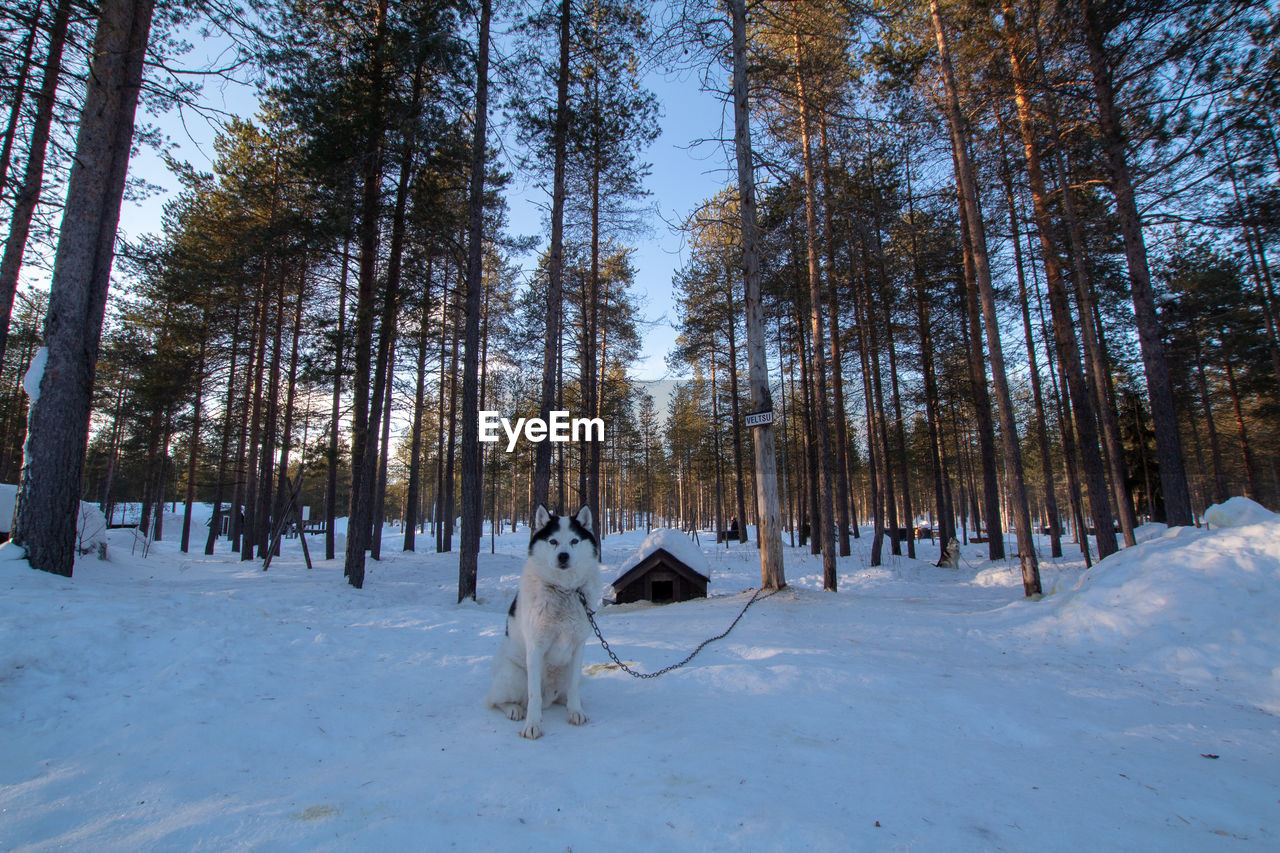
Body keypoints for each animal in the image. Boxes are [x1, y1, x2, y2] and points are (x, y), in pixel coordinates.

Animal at [486, 502, 601, 732]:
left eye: (574, 541)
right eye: (553, 541)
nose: (563, 556)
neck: (564, 590)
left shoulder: (578, 647)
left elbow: (574, 688)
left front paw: (576, 712)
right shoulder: (535, 647)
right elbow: (534, 696)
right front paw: (532, 725)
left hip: (564, 673)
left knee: (566, 692)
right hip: (515, 676)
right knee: (496, 700)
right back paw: (514, 709)